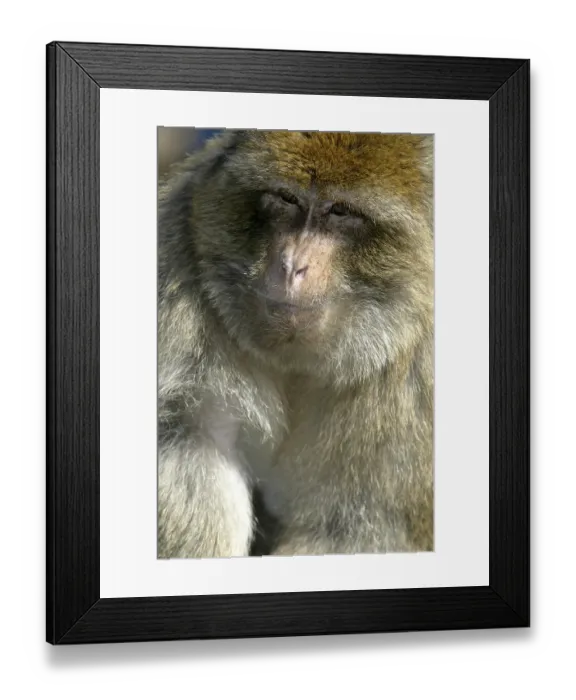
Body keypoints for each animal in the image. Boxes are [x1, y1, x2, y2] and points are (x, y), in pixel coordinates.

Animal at [156, 129, 434, 559]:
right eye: (286, 199)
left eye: (340, 212)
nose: (292, 266)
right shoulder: (179, 262)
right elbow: (187, 436)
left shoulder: (418, 385)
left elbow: (359, 528)